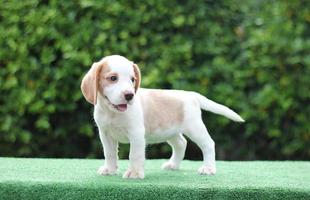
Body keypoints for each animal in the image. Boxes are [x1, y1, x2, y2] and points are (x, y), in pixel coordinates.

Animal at [80, 55, 245, 180]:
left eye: (132, 80)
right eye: (113, 78)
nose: (129, 95)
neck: (113, 113)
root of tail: (191, 94)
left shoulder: (136, 135)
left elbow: (134, 155)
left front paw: (134, 173)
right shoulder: (105, 135)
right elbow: (109, 153)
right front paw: (110, 169)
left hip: (194, 128)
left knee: (208, 144)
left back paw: (208, 168)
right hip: (171, 131)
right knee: (181, 144)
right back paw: (173, 165)